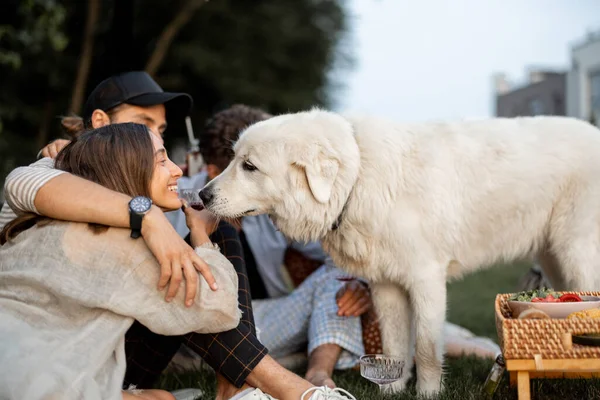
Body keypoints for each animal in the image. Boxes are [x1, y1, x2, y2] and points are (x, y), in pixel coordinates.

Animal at [199, 108, 600, 396]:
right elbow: (394, 345)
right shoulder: (386, 285)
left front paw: (427, 393)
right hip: (555, 257)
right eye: (233, 160)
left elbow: (424, 347)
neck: (357, 179)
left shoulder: (425, 279)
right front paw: (391, 387)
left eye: (249, 167)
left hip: (576, 252)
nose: (202, 195)